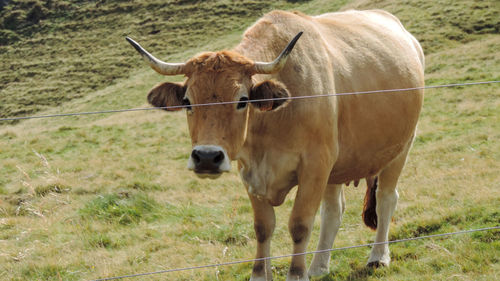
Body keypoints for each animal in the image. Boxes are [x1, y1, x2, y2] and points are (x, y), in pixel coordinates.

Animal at [127, 9, 424, 280]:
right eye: (188, 101)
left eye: (242, 100)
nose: (207, 157)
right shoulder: (250, 172)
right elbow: (263, 227)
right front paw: (260, 275)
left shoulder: (314, 166)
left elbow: (300, 225)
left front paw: (296, 274)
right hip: (337, 166)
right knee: (333, 211)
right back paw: (319, 267)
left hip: (400, 147)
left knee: (386, 199)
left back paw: (377, 257)